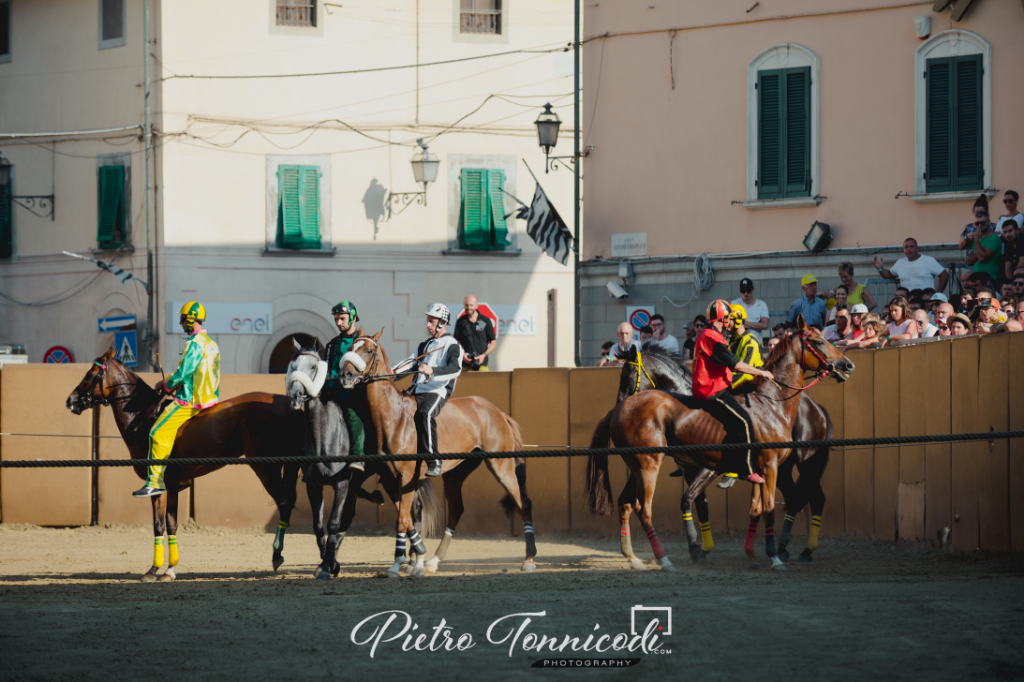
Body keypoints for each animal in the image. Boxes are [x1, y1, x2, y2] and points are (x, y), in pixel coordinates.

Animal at [64, 350, 301, 577]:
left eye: (90, 374)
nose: (70, 400)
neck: (144, 417)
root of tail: (286, 403)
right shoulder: (173, 485)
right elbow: (172, 524)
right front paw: (169, 569)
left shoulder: (158, 487)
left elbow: (159, 525)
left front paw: (153, 569)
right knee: (288, 501)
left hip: (265, 466)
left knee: (284, 502)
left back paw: (277, 554)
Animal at [284, 337, 440, 577]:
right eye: (293, 366)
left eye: (313, 367)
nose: (295, 396)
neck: (324, 437)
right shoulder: (313, 484)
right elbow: (319, 526)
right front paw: (326, 562)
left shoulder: (342, 484)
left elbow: (333, 522)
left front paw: (327, 566)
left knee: (413, 509)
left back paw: (415, 561)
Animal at [337, 327, 544, 573]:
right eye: (351, 347)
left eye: (368, 350)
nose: (345, 375)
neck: (393, 417)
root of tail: (498, 412)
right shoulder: (388, 477)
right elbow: (405, 515)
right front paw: (414, 556)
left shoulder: (407, 476)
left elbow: (403, 518)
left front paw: (400, 563)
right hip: (456, 473)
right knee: (456, 510)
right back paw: (434, 559)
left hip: (501, 467)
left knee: (524, 504)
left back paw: (529, 558)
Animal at [589, 315, 851, 569]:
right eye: (819, 342)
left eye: (628, 375)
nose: (847, 364)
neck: (771, 403)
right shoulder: (762, 466)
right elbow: (747, 508)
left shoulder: (749, 469)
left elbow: (752, 509)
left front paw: (746, 554)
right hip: (647, 465)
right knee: (641, 508)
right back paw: (662, 560)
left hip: (804, 464)